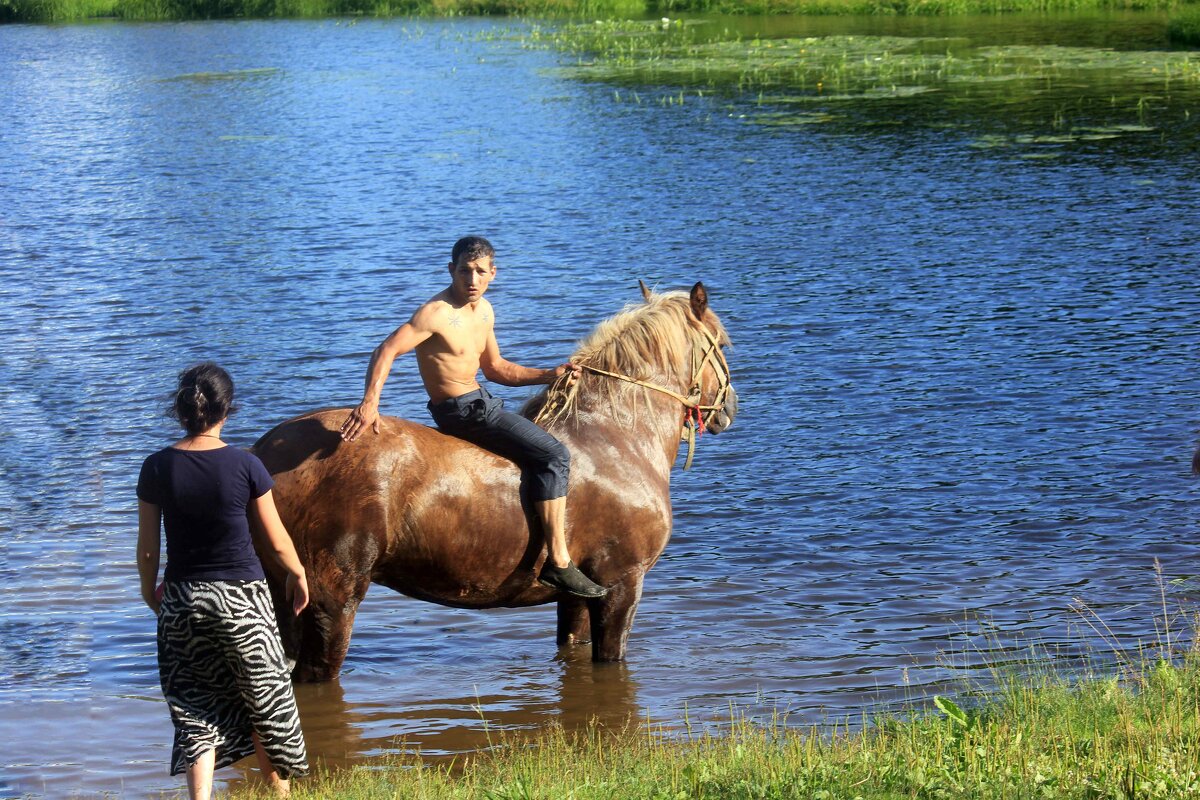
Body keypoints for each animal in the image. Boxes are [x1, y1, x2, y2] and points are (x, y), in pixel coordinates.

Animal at [255, 281, 729, 681]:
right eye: (722, 344)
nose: (727, 411)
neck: (618, 438)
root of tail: (263, 454)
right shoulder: (621, 585)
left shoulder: (580, 597)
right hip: (329, 603)